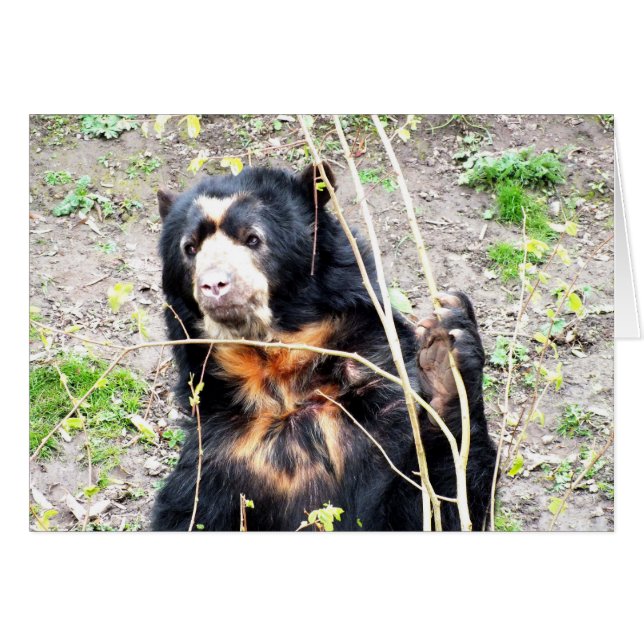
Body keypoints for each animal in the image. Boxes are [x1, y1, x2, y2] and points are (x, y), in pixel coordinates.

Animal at [151, 163, 496, 531]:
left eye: (253, 238)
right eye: (190, 248)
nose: (214, 285)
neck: (278, 376)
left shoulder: (383, 413)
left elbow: (431, 505)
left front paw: (446, 352)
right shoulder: (219, 453)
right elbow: (185, 515)